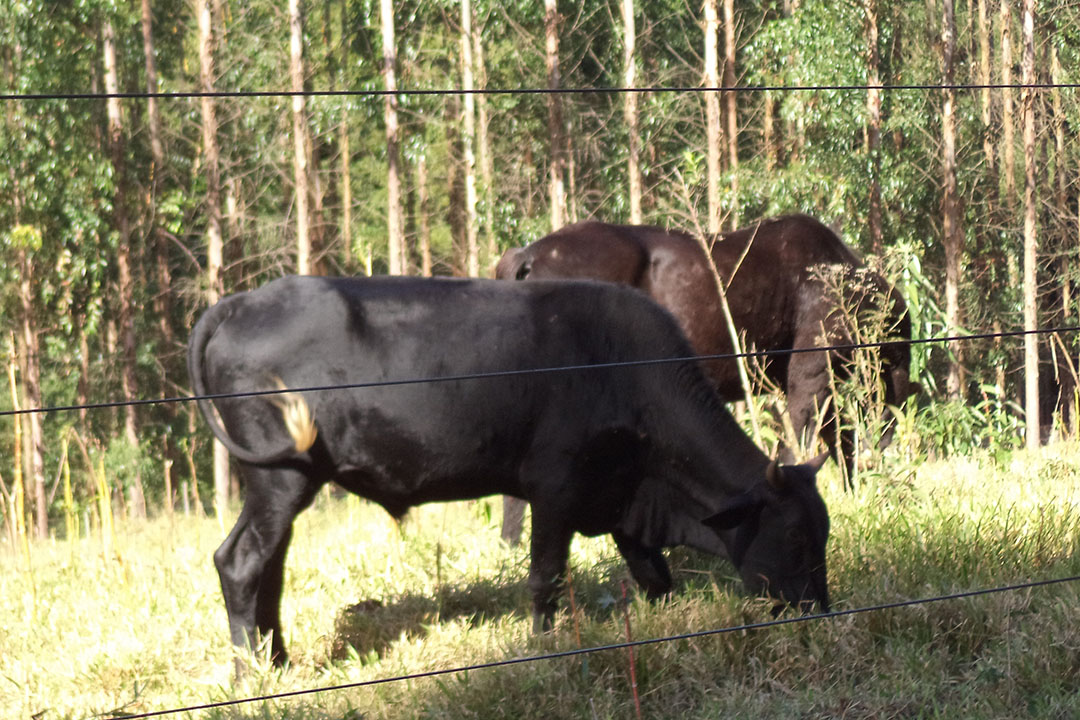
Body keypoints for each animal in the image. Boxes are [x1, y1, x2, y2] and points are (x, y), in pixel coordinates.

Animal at [187, 274, 825, 664]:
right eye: (795, 535)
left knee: (270, 568)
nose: (821, 611)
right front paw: (543, 649)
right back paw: (251, 674)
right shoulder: (556, 484)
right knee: (240, 563)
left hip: (283, 483)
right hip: (280, 477)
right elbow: (546, 577)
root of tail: (241, 302)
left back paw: (277, 661)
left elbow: (656, 577)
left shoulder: (625, 499)